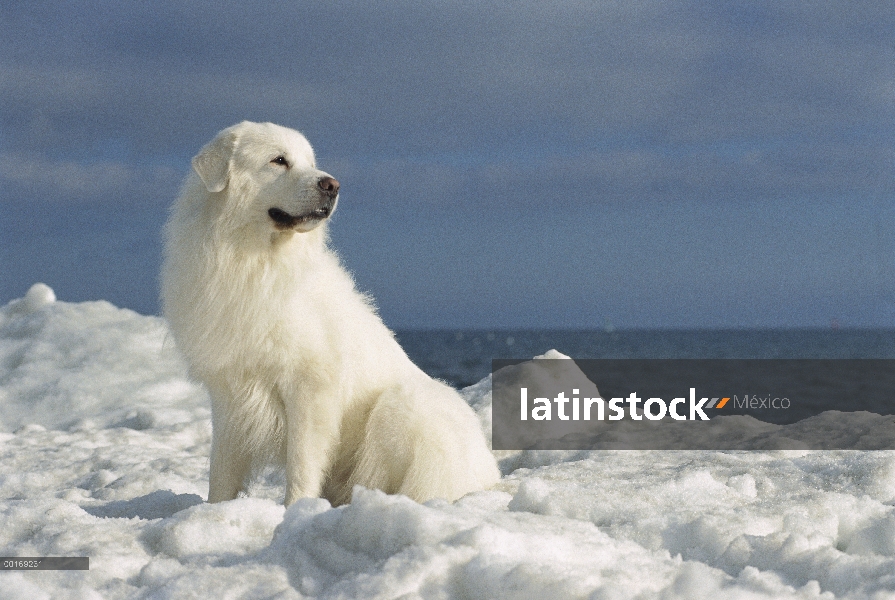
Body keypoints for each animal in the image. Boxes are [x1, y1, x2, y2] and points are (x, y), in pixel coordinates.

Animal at [159, 122, 496, 506]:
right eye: (279, 160)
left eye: (310, 161)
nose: (332, 185)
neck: (252, 259)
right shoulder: (229, 391)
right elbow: (222, 471)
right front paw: (215, 511)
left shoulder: (309, 386)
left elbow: (302, 463)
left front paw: (296, 511)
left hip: (402, 407)